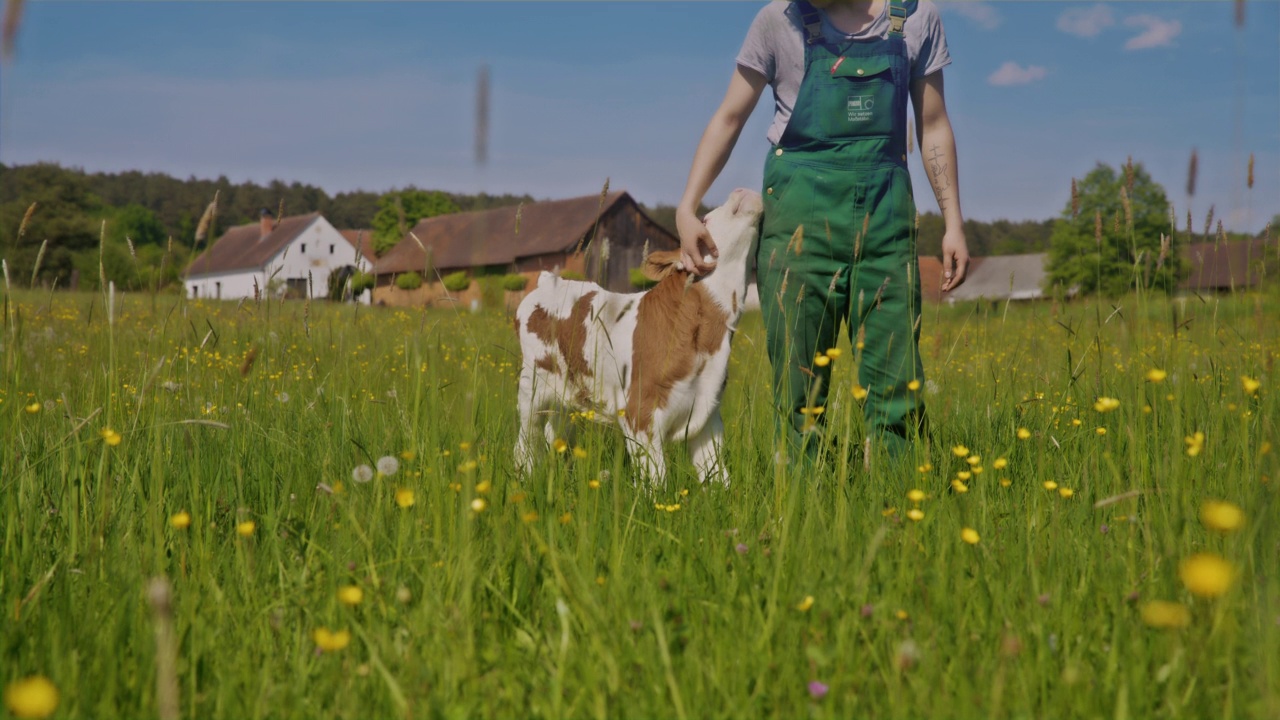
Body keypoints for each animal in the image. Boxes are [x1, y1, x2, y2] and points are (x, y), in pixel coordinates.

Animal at [514, 188, 762, 484]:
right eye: (705, 219)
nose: (740, 190)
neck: (709, 340)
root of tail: (550, 281)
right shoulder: (640, 412)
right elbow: (656, 479)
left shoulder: (707, 413)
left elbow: (716, 475)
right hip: (531, 388)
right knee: (526, 441)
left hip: (567, 397)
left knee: (556, 433)